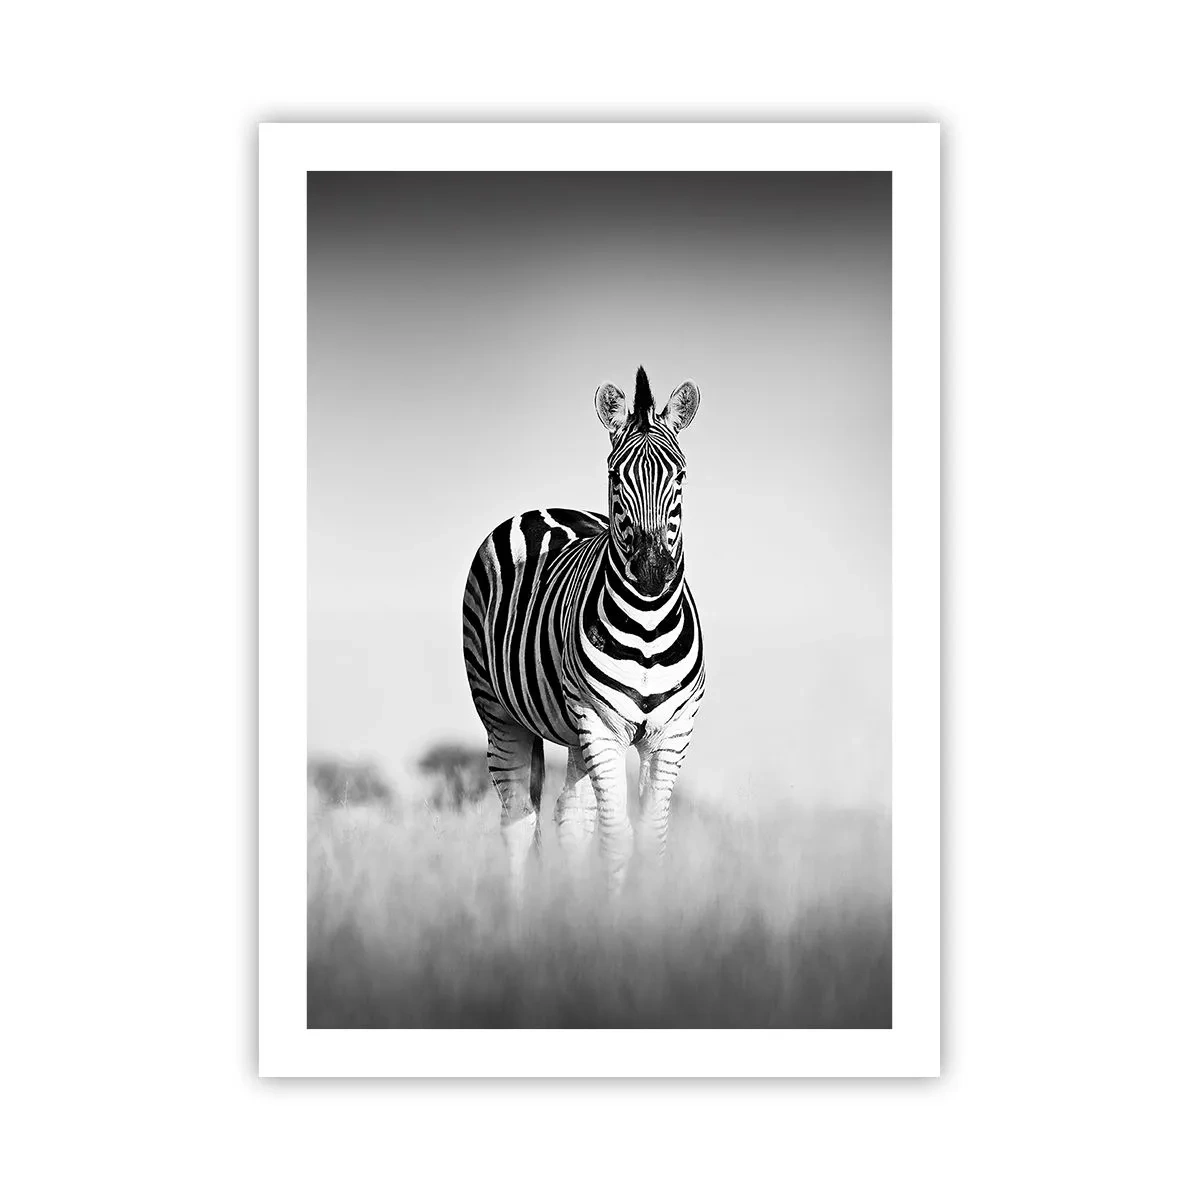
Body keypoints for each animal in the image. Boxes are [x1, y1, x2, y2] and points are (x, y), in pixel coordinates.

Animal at [461, 367, 704, 892]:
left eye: (680, 475)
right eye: (615, 475)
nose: (652, 572)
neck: (648, 626)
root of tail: (543, 508)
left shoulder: (671, 732)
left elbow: (651, 838)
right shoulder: (600, 724)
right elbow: (617, 838)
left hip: (574, 734)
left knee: (570, 817)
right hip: (499, 712)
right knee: (518, 818)